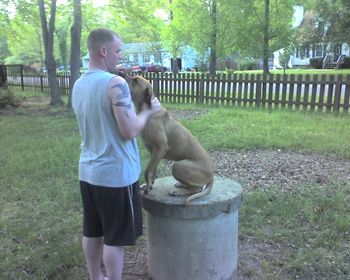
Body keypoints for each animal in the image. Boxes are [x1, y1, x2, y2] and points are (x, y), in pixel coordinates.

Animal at [119, 72, 213, 203]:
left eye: (136, 80)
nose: (120, 72)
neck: (148, 111)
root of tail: (212, 176)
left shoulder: (161, 148)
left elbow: (147, 171)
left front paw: (148, 186)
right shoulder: (154, 152)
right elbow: (153, 170)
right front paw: (150, 184)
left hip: (178, 166)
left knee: (197, 188)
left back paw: (178, 191)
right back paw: (181, 184)